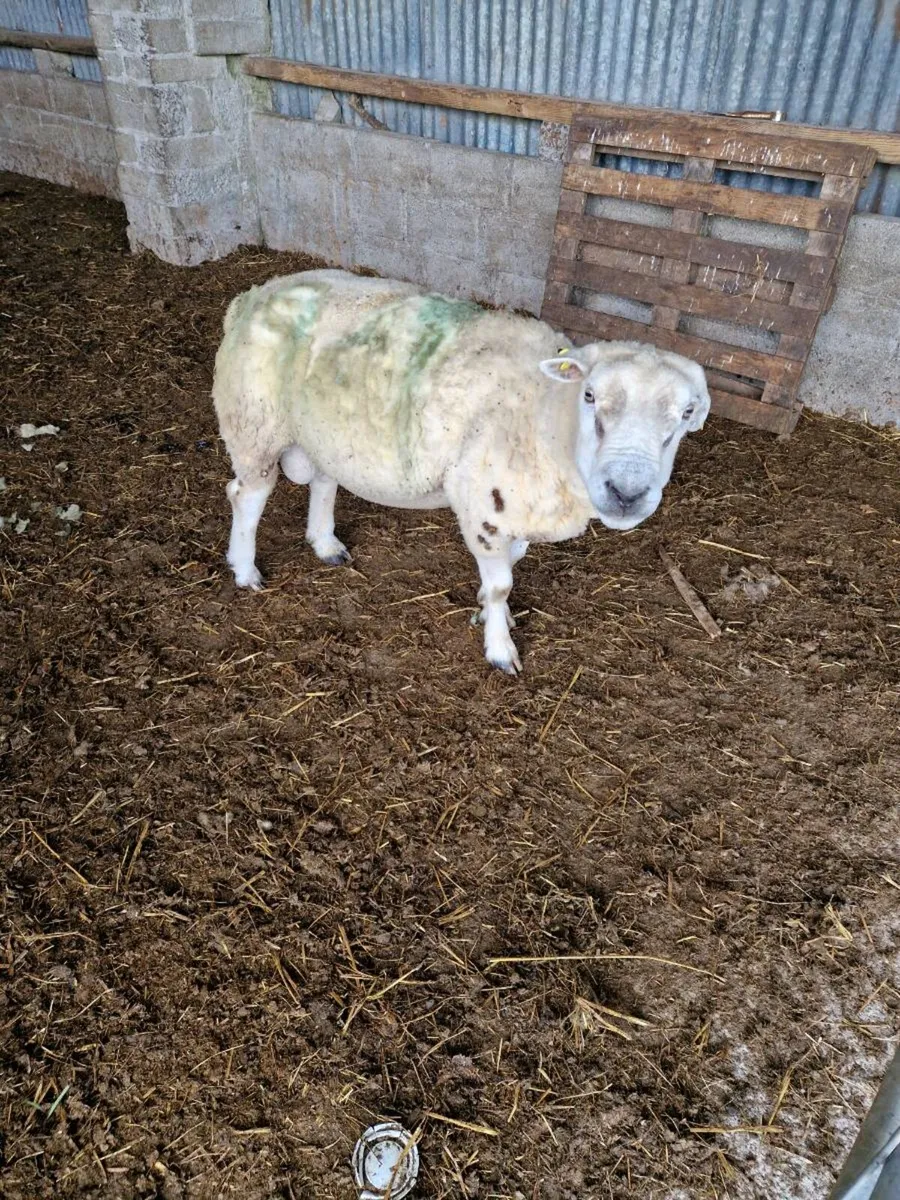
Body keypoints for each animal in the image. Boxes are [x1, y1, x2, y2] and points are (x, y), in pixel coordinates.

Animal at [212, 269, 711, 674]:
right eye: (589, 395)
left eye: (688, 412)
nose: (627, 492)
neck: (544, 413)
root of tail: (251, 295)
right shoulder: (484, 509)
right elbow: (502, 584)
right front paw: (500, 647)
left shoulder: (519, 508)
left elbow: (510, 566)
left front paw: (492, 613)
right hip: (253, 422)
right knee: (246, 495)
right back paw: (245, 569)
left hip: (324, 432)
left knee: (323, 480)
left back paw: (325, 543)